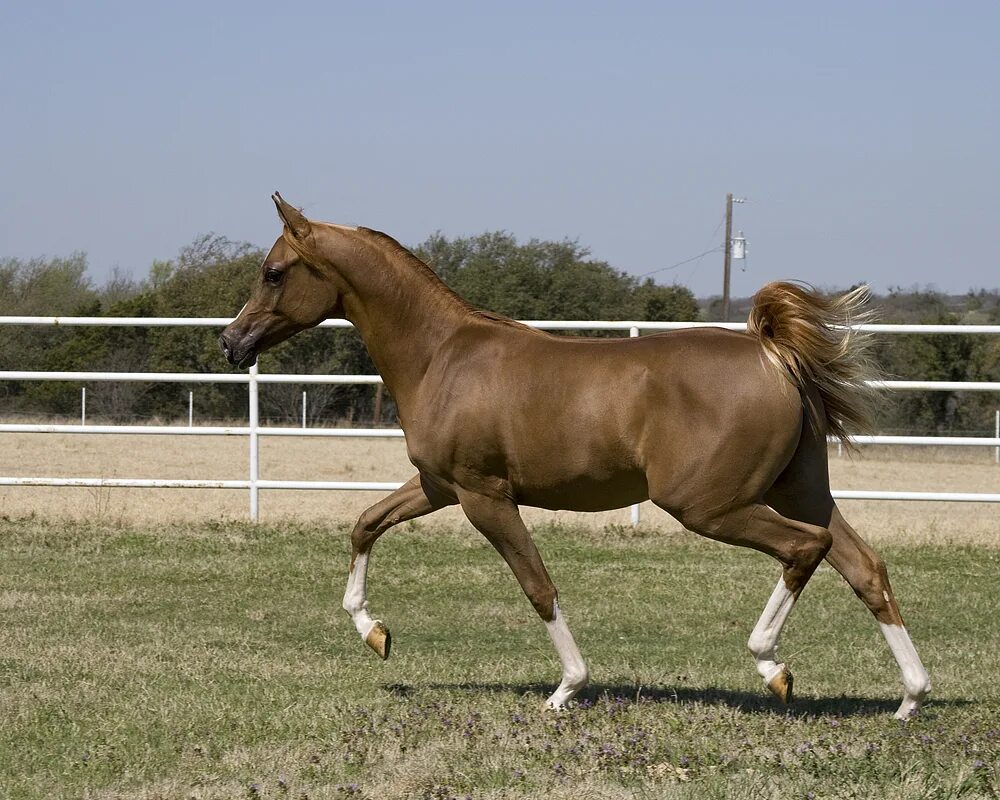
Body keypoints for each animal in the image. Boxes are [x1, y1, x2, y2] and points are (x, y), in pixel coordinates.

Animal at [219, 194, 928, 720]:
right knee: (865, 568)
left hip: (710, 506)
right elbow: (366, 523)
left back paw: (773, 667)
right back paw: (910, 699)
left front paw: (567, 688)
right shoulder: (440, 485)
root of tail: (772, 352)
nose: (232, 342)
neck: (441, 355)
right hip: (800, 490)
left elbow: (538, 585)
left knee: (806, 548)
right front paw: (375, 633)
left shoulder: (483, 496)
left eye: (274, 271)